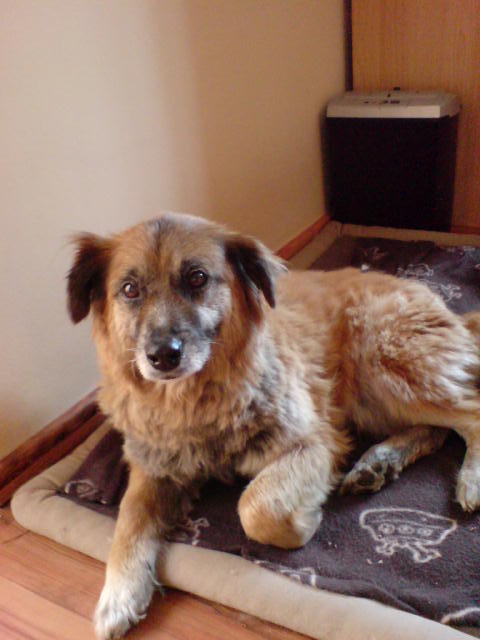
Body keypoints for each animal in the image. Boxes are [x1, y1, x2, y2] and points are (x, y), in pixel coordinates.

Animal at [67, 212, 480, 638]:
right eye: (129, 289)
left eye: (197, 278)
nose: (163, 356)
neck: (192, 402)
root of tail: (451, 314)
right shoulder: (152, 470)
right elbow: (127, 522)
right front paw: (117, 596)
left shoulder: (313, 442)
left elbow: (255, 508)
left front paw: (304, 525)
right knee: (434, 430)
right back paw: (379, 462)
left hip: (381, 359)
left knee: (471, 414)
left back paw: (468, 481)